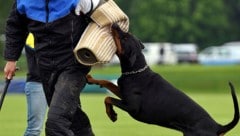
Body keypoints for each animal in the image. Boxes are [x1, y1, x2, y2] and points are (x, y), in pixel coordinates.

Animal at [87, 23, 239, 135]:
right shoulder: (122, 93)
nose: (114, 24)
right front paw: (91, 79)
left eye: (124, 38)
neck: (135, 71)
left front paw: (111, 115)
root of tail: (217, 127)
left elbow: (107, 98)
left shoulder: (131, 106)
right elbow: (107, 83)